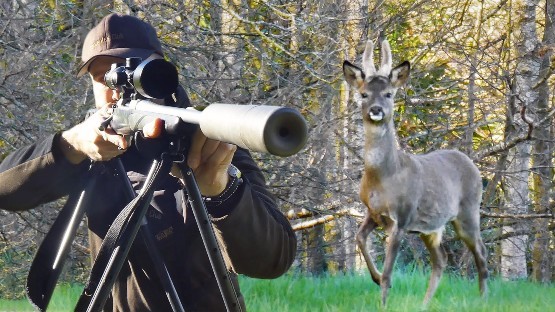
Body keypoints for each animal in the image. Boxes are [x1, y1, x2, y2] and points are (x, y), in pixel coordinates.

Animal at [340, 40, 488, 306]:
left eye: (389, 93)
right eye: (364, 94)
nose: (376, 109)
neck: (384, 177)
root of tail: (470, 163)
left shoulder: (402, 217)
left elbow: (389, 271)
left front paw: (383, 301)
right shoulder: (372, 213)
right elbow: (359, 238)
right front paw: (374, 277)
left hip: (468, 212)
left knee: (481, 252)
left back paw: (483, 299)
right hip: (430, 228)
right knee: (441, 258)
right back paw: (425, 303)